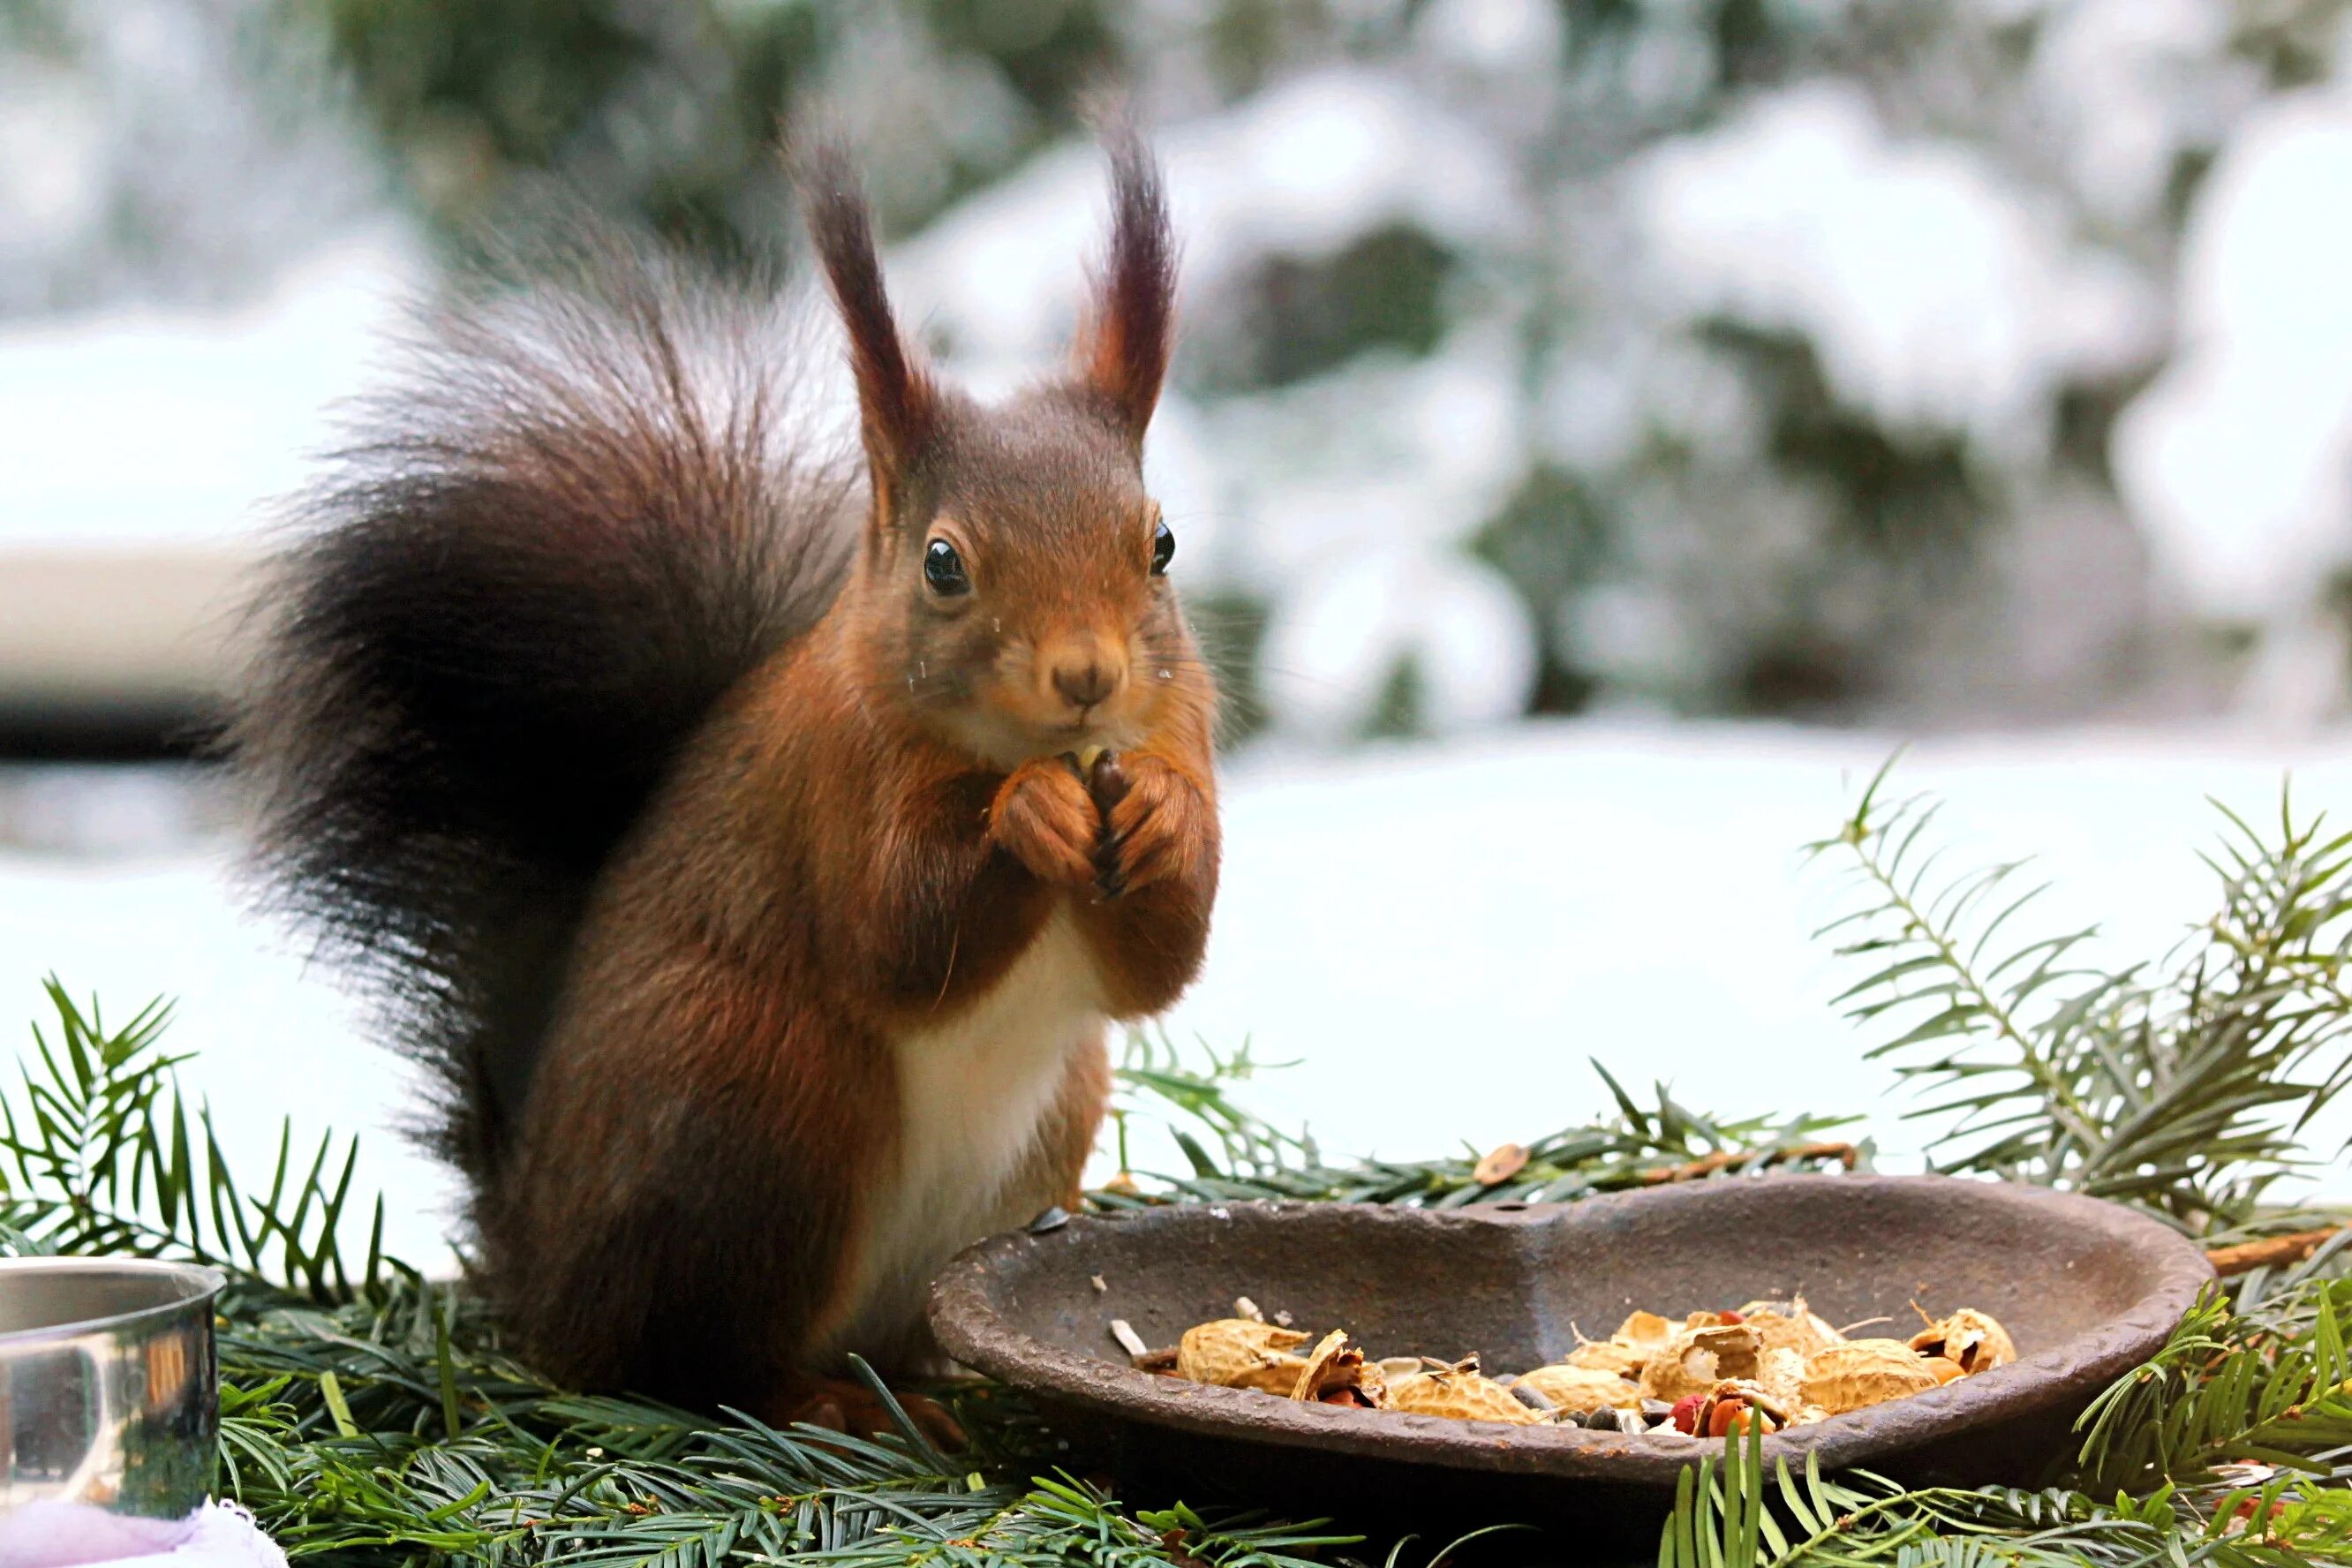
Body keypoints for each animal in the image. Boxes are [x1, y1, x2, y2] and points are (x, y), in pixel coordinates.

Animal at [236, 128, 1223, 1420]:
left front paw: (1160, 818)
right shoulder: (836, 780)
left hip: (1040, 1120)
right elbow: (899, 940)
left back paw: (927, 1381)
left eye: (1160, 544)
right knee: (691, 1363)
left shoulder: (1181, 726)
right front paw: (1029, 818)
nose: (1088, 674)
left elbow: (1155, 969)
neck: (1009, 745)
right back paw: (819, 1401)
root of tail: (536, 1267)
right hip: (761, 1096)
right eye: (943, 564)